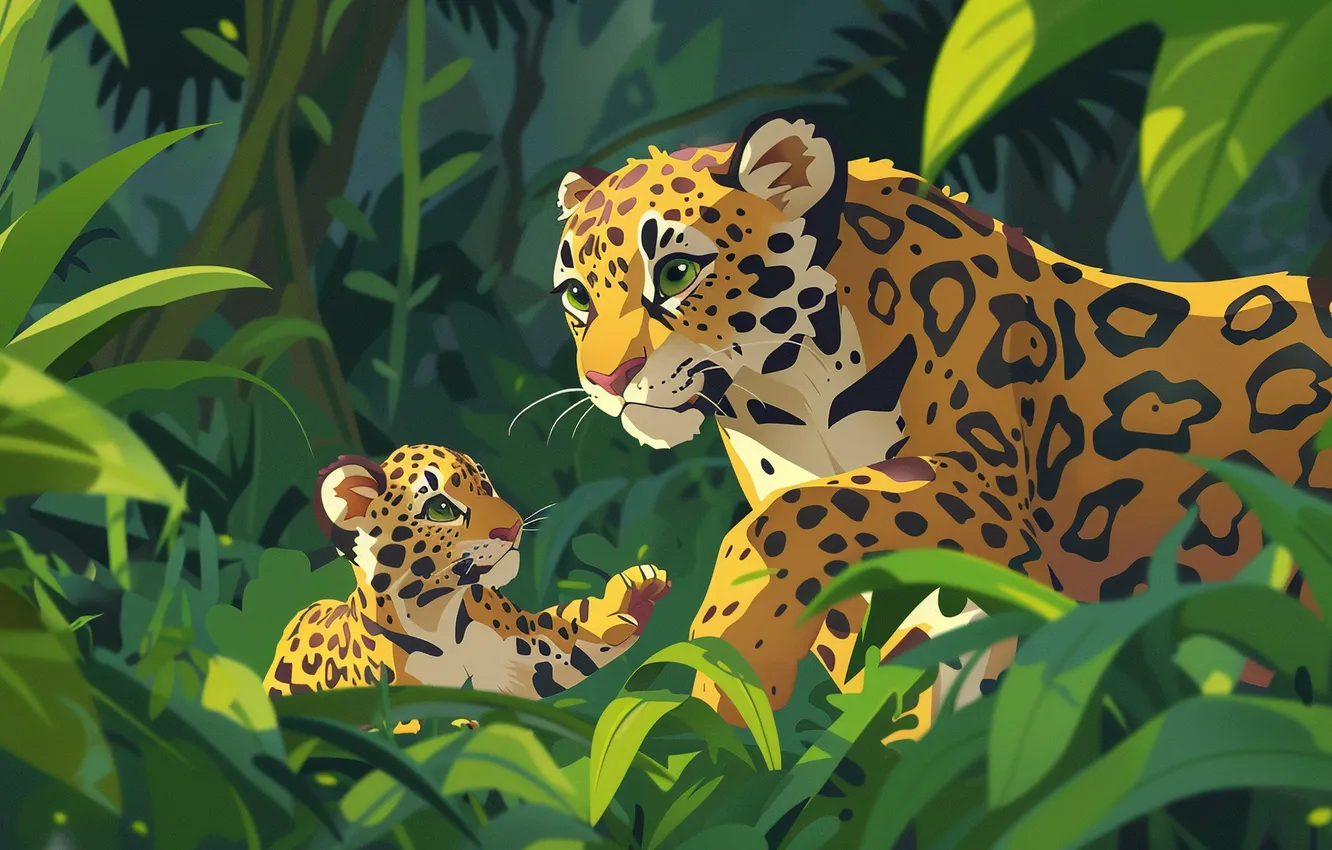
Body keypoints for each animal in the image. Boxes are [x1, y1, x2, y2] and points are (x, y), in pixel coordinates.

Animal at [263, 445, 671, 732]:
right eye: (440, 508)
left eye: (486, 487)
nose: (513, 526)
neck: (437, 613)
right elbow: (410, 726)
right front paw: (457, 723)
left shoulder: (519, 652)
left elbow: (565, 641)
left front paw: (631, 597)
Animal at [545, 110, 1332, 739]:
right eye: (578, 295)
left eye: (677, 272)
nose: (605, 380)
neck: (789, 401)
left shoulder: (986, 495)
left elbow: (798, 517)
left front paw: (727, 649)